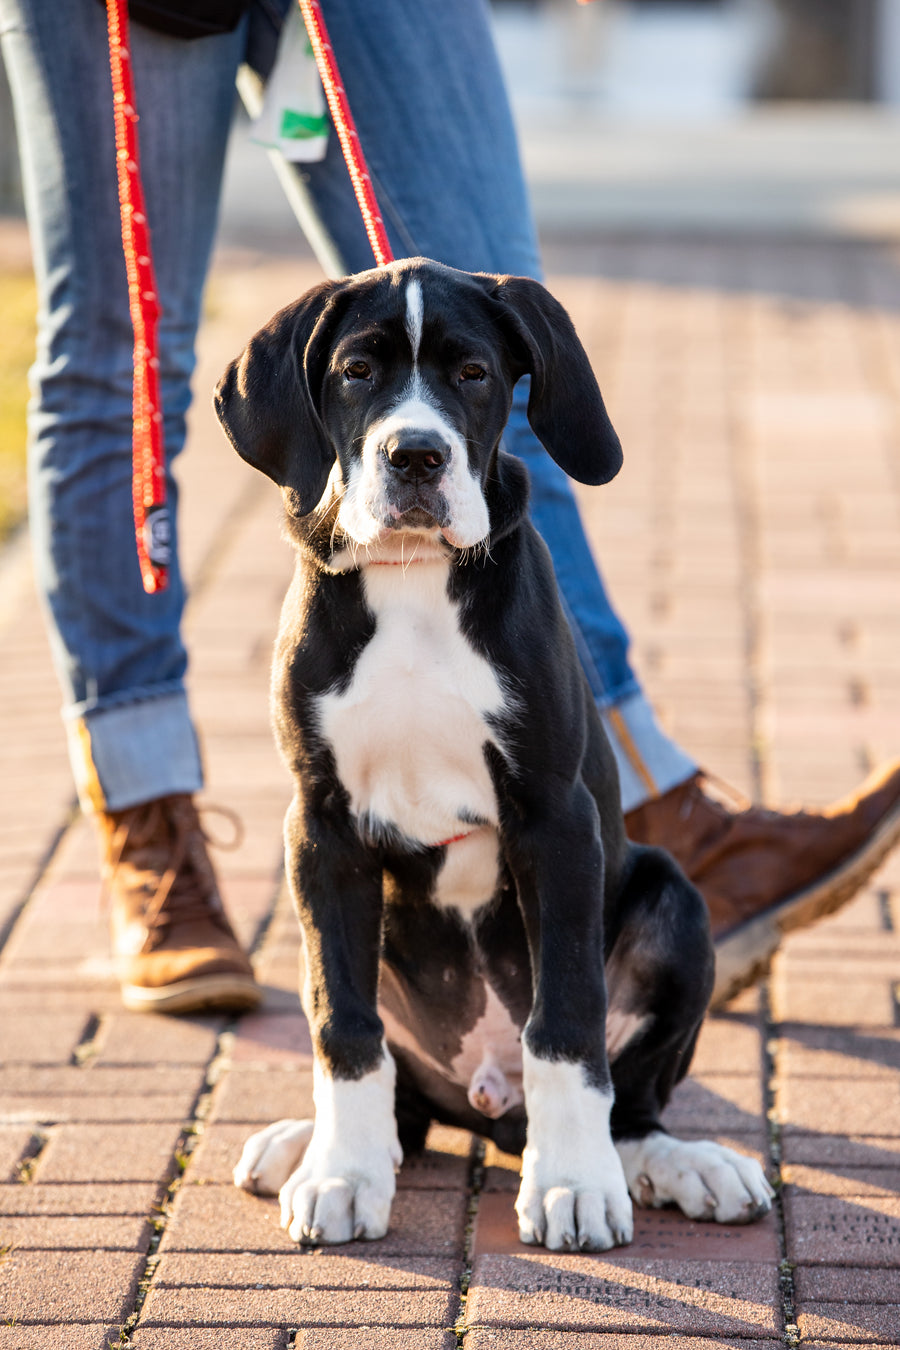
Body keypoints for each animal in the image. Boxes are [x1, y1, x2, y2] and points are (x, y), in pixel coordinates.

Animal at [214, 257, 771, 1247]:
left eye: (473, 374)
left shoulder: (557, 818)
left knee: (633, 1106)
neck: (411, 580)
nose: (415, 457)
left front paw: (572, 1185)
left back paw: (680, 1165)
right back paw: (309, 1144)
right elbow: (341, 1024)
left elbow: (567, 1024)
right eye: (357, 372)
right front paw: (345, 1173)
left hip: (676, 902)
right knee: (400, 1097)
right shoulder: (320, 829)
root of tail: (487, 1105)